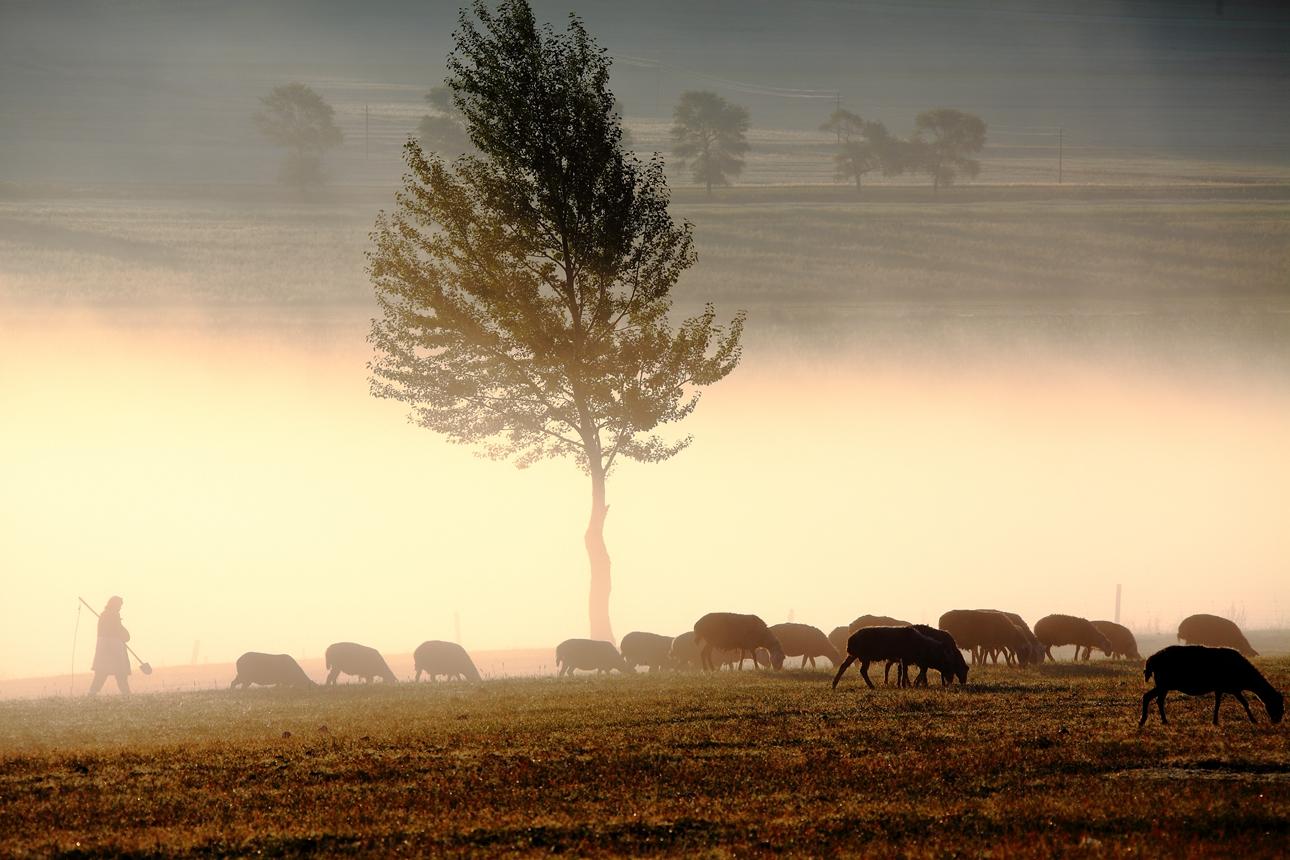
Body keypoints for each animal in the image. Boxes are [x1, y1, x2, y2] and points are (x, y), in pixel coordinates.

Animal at [1140, 644, 1279, 727]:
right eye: (1276, 703)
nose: (1278, 720)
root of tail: (1151, 659)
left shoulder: (1222, 688)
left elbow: (1218, 703)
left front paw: (1215, 721)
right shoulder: (1232, 688)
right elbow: (1244, 703)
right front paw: (1254, 720)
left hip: (1163, 685)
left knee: (1154, 699)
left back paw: (1155, 720)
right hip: (1163, 684)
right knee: (1152, 698)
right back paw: (1151, 720)